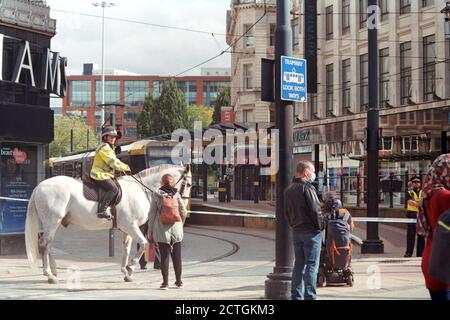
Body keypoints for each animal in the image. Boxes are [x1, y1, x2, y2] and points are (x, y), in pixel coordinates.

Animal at [24, 164, 192, 284]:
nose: (184, 210)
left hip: (52, 223)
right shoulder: (131, 226)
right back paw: (50, 275)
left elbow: (126, 248)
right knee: (45, 245)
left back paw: (53, 271)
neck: (141, 189)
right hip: (52, 222)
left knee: (46, 244)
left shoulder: (127, 228)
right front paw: (131, 267)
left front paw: (126, 272)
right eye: (189, 184)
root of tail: (39, 187)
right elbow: (144, 244)